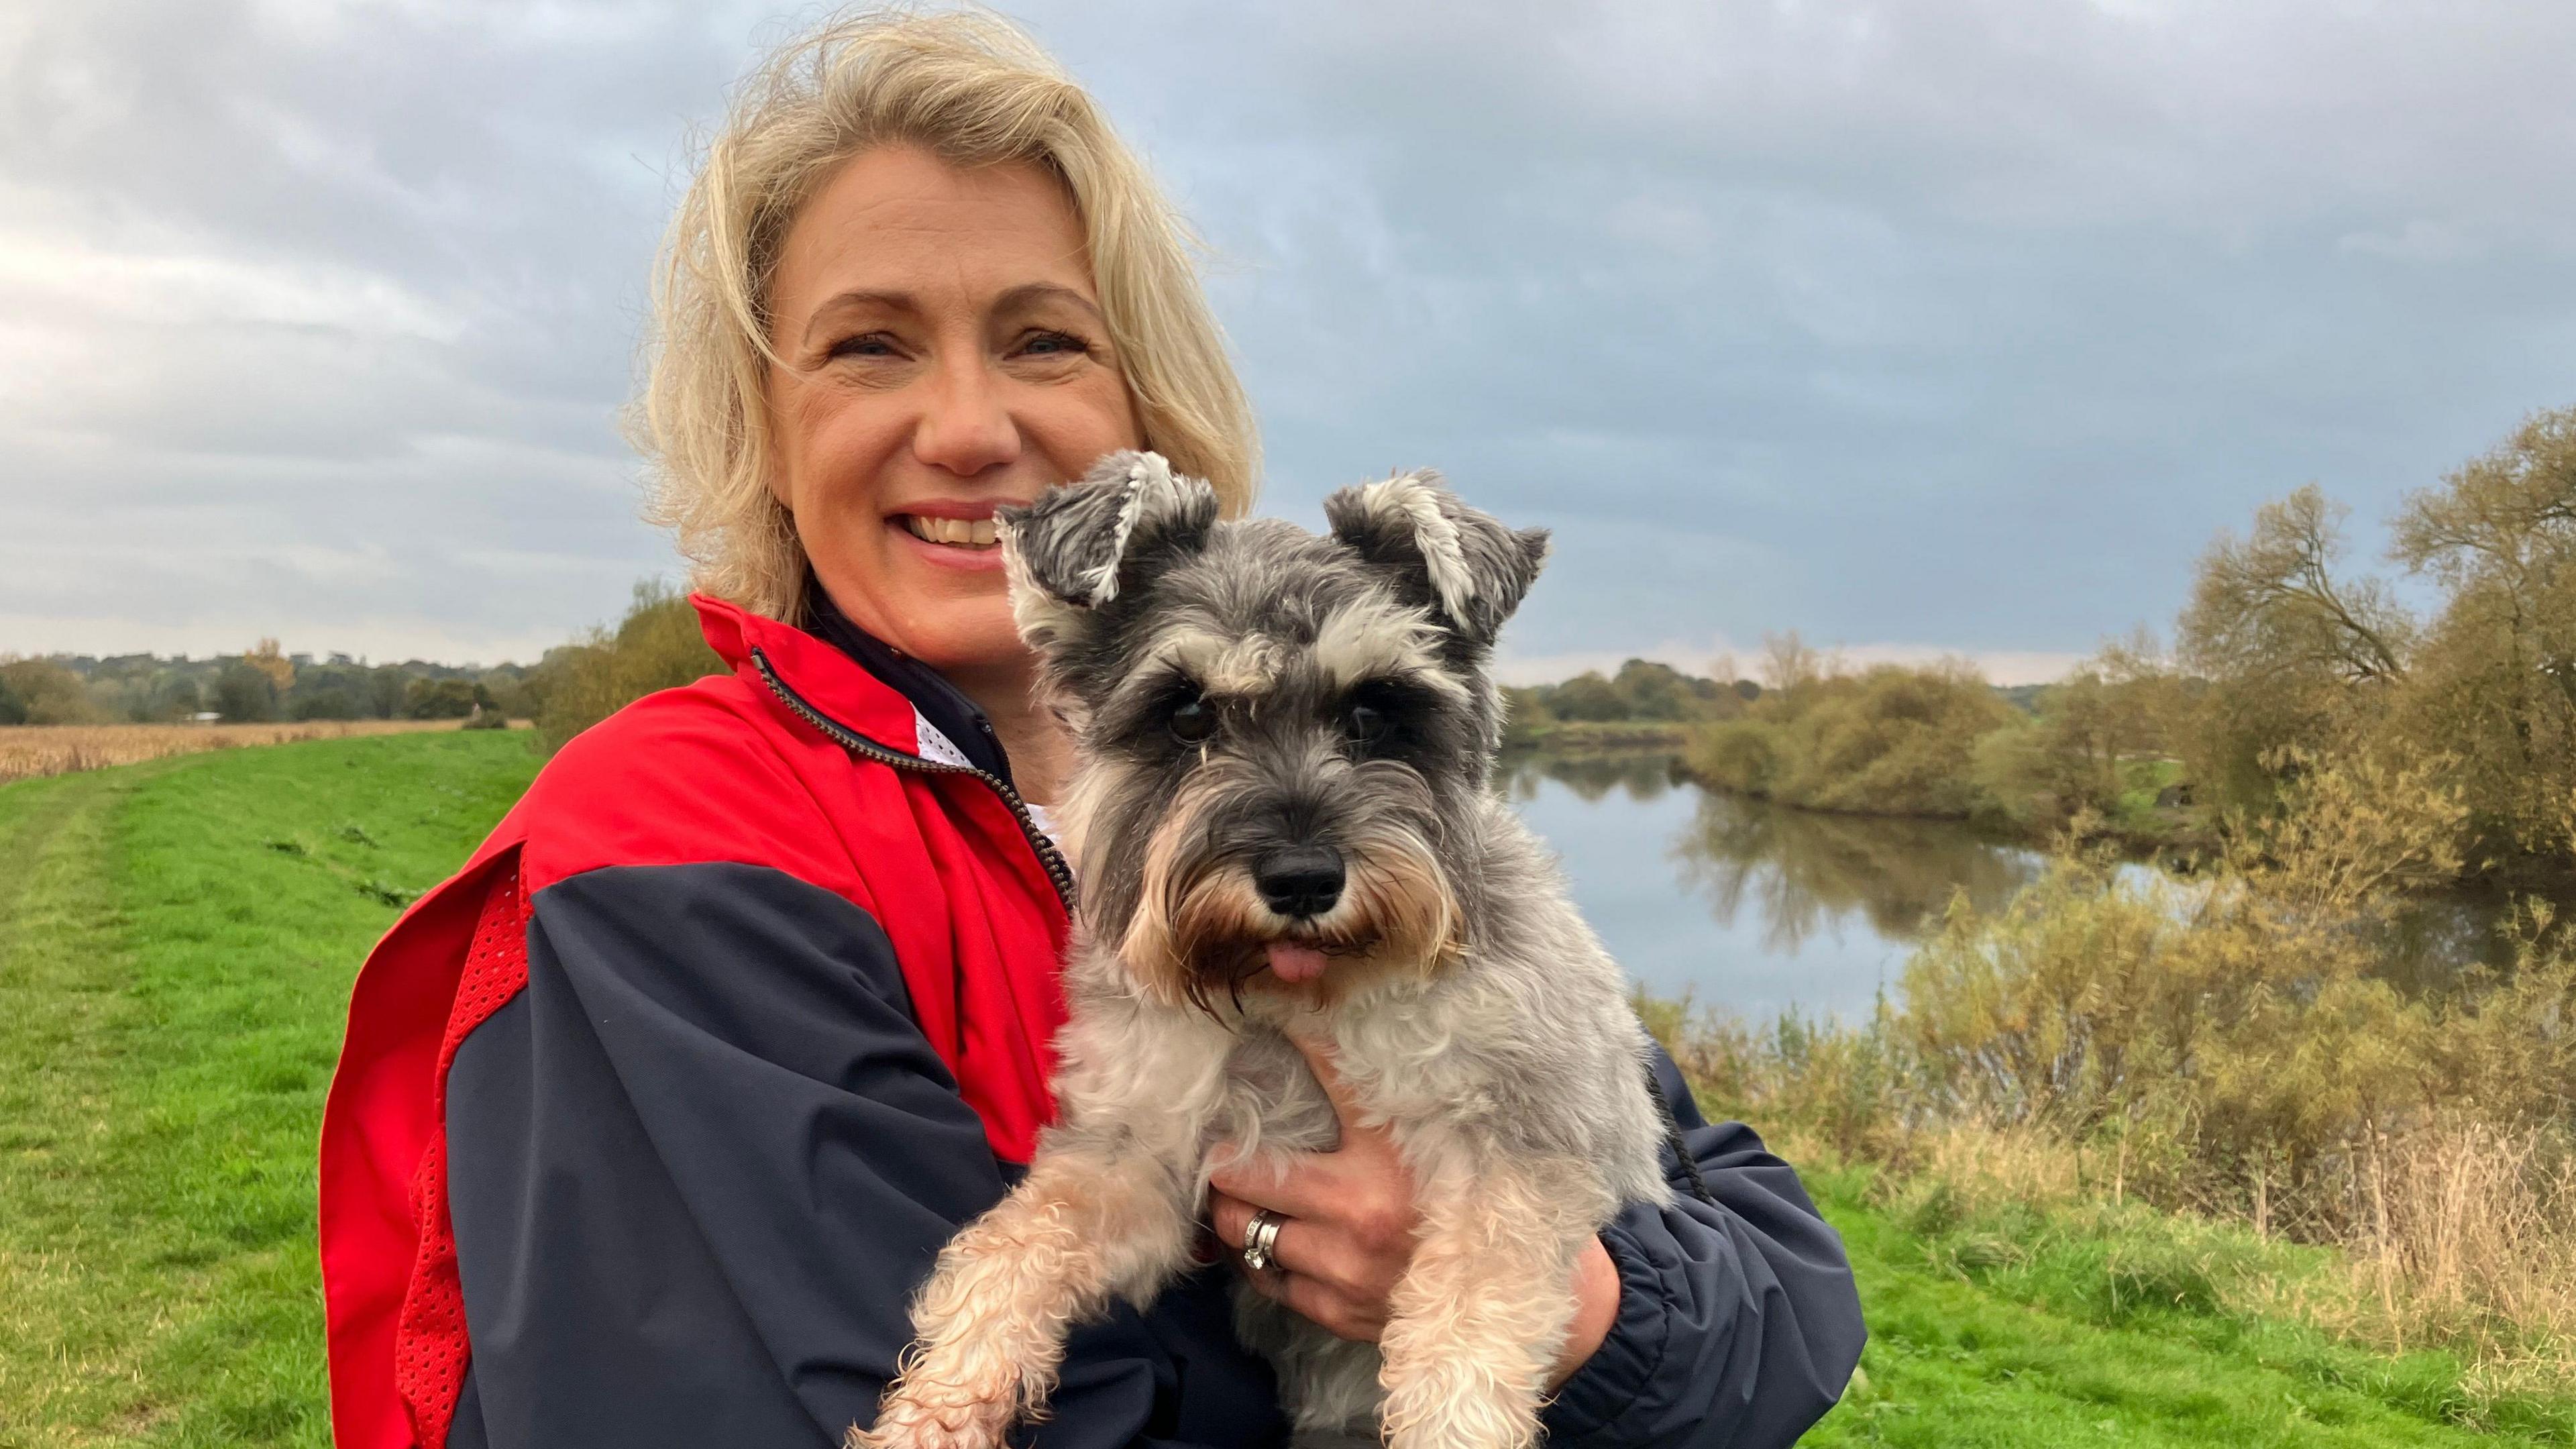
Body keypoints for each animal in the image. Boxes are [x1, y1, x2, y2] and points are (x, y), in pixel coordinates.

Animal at [855, 451, 1679, 1444]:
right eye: (1185, 715)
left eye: (1373, 712)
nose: (1301, 879)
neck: (1300, 999)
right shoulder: (1142, 1157)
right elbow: (1021, 1241)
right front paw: (932, 1409)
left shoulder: (1520, 1149)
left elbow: (1466, 1328)